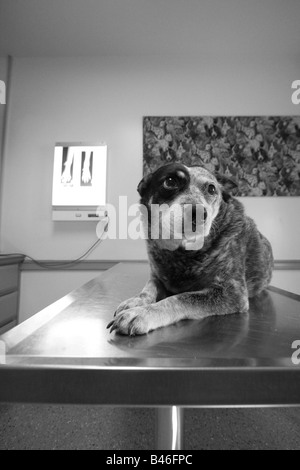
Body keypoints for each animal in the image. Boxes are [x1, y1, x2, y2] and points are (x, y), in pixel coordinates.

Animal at [108, 163, 274, 336]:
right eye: (170, 181)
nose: (198, 212)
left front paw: (143, 313)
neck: (182, 252)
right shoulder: (157, 277)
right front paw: (137, 301)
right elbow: (148, 289)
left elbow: (180, 298)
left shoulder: (232, 293)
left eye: (211, 189)